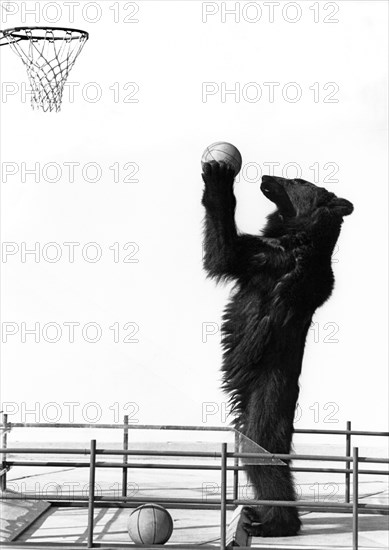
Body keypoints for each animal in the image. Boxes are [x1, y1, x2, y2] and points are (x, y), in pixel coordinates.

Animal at [202, 162, 354, 536]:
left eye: (297, 180)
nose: (266, 177)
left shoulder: (269, 261)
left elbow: (223, 255)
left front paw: (217, 173)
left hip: (265, 398)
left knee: (262, 457)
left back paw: (273, 523)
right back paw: (260, 515)